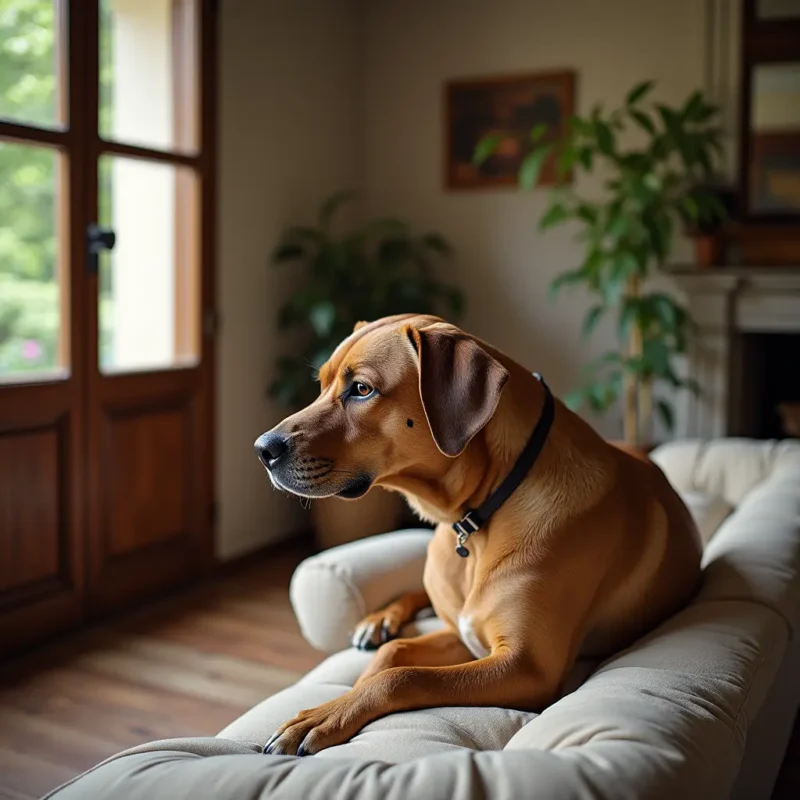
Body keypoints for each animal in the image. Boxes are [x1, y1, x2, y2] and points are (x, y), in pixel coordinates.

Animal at [256, 314, 700, 756]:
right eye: (321, 386)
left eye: (362, 389)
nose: (262, 449)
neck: (483, 510)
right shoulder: (462, 635)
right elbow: (394, 653)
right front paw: (340, 700)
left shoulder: (525, 666)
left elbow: (403, 676)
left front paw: (327, 714)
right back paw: (382, 618)